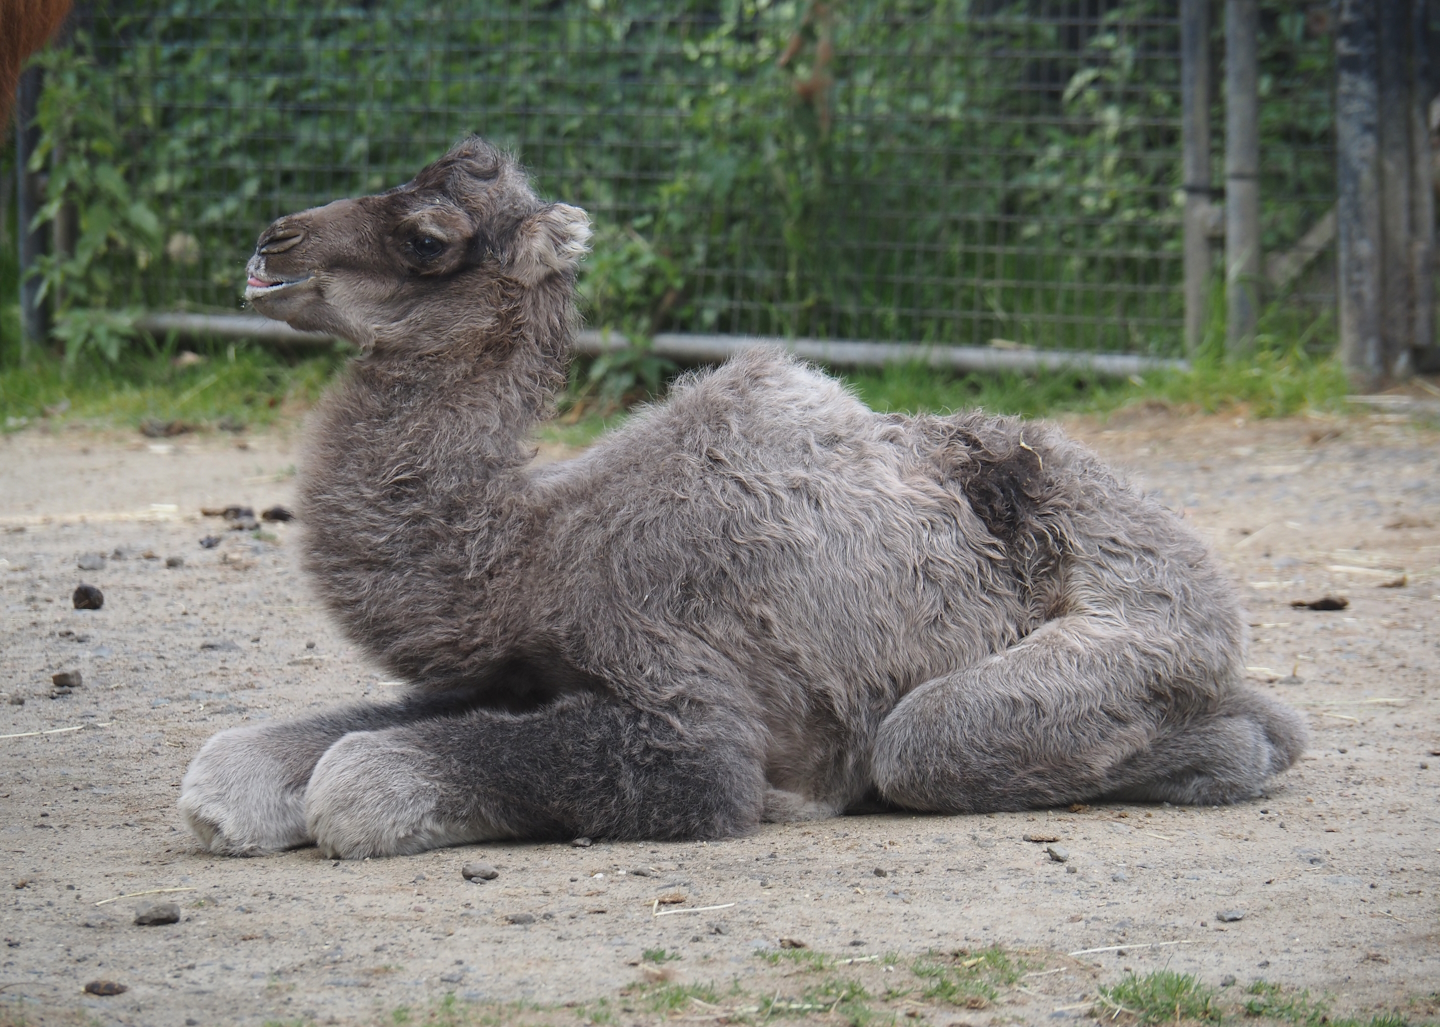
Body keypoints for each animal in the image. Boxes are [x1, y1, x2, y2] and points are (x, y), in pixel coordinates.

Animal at [178, 137, 1306, 859]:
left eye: (427, 235)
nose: (273, 245)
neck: (532, 552)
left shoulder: (685, 705)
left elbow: (362, 779)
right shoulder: (514, 665)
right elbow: (240, 757)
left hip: (1148, 631)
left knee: (932, 743)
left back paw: (1236, 748)